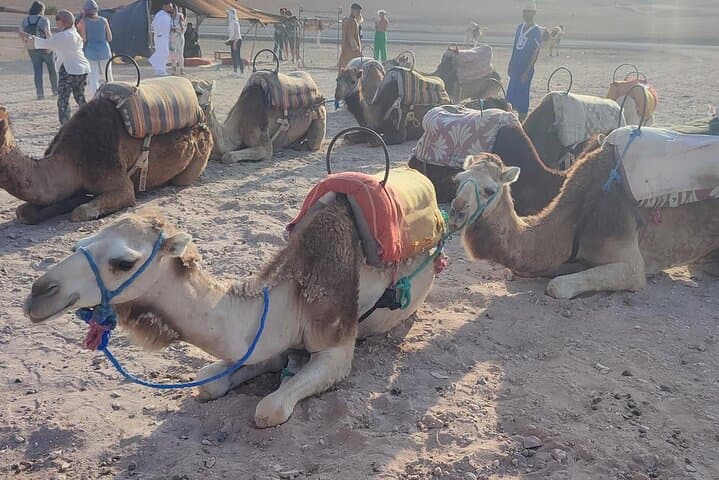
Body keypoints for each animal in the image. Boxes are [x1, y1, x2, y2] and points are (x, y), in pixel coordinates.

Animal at [25, 204, 438, 427]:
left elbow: (269, 408)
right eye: (82, 241)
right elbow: (209, 381)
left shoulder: (336, 344)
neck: (286, 298)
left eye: (123, 262)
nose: (38, 294)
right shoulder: (267, 337)